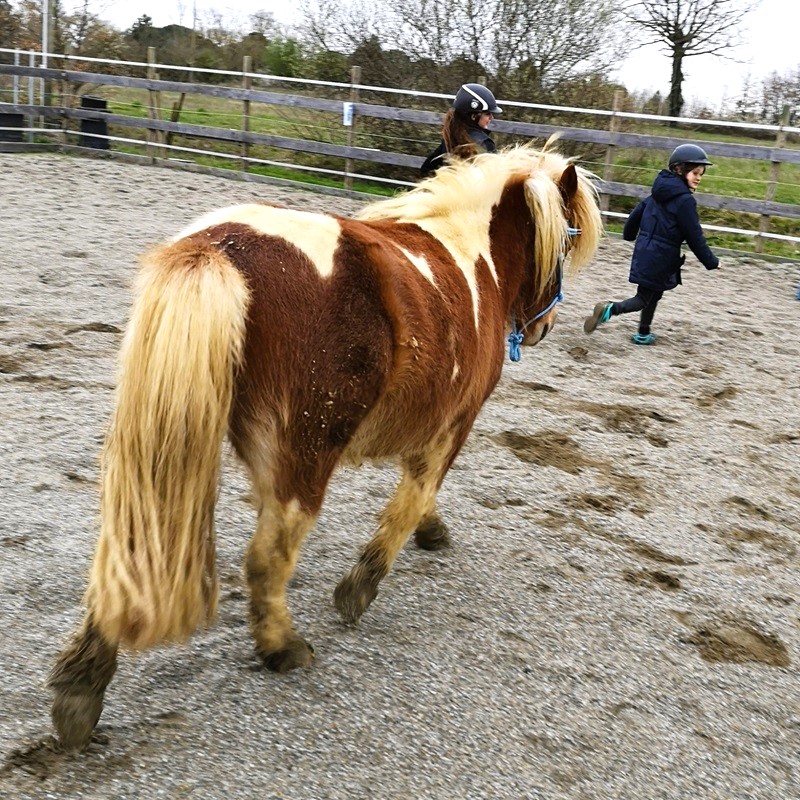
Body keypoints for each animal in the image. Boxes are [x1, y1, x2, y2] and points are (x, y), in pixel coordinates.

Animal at [50, 144, 600, 752]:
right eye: (567, 239)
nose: (545, 325)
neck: (470, 255)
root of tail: (218, 247)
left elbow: (418, 495)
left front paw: (431, 530)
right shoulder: (454, 422)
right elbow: (412, 496)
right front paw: (361, 586)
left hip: (165, 453)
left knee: (128, 556)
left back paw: (81, 687)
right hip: (305, 458)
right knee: (267, 558)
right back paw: (280, 646)